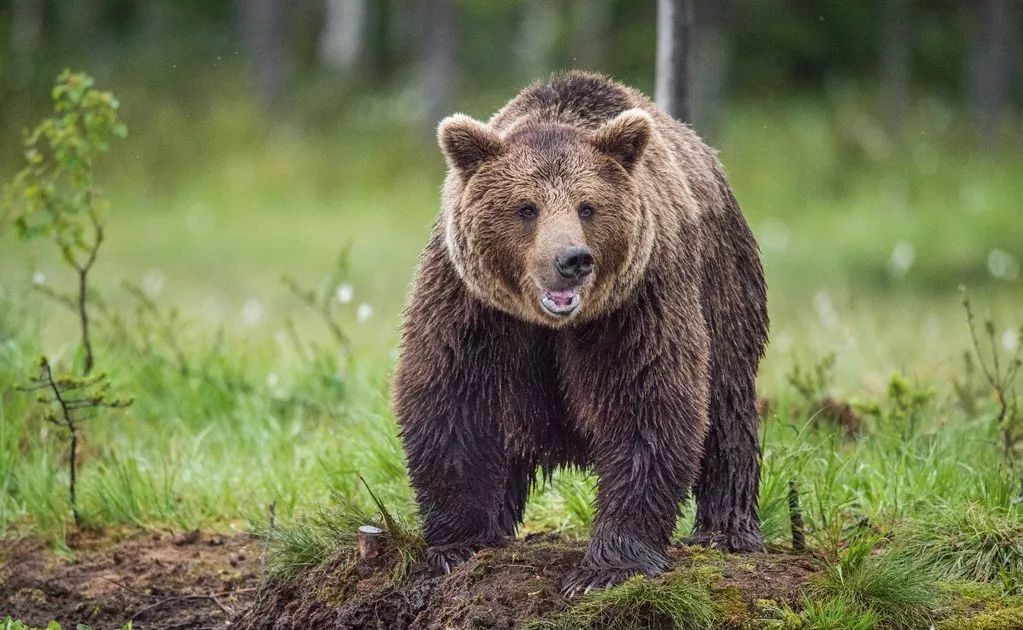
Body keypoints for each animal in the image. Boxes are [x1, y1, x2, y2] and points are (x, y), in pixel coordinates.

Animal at [390, 70, 769, 597]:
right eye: (526, 208)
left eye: (587, 208)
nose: (572, 259)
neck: (551, 325)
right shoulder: (473, 307)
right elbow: (454, 401)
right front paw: (458, 544)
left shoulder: (635, 305)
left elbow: (647, 404)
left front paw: (607, 567)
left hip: (724, 288)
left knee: (728, 409)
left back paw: (726, 531)